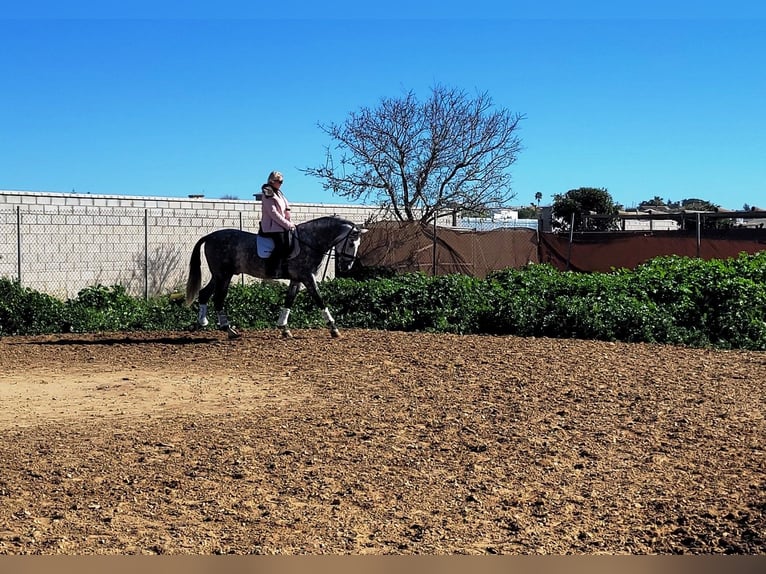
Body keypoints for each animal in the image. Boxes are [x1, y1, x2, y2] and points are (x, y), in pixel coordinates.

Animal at [184, 218, 368, 340]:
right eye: (351, 244)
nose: (346, 267)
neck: (310, 241)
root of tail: (209, 236)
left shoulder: (297, 279)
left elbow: (289, 301)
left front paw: (284, 328)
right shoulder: (307, 277)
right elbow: (319, 299)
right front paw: (333, 328)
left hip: (218, 275)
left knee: (204, 294)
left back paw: (202, 322)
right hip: (224, 275)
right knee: (218, 299)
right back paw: (228, 329)